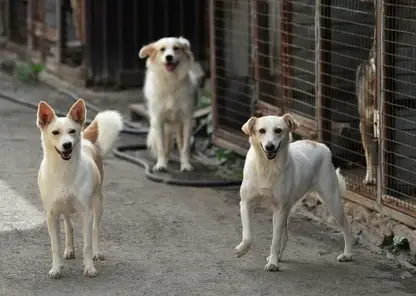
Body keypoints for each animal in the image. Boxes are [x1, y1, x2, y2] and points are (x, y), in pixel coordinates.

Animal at [36, 99, 122, 278]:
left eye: (72, 131)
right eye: (55, 132)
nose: (67, 145)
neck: (64, 170)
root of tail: (87, 139)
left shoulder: (86, 213)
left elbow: (87, 245)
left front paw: (89, 267)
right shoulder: (52, 215)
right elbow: (55, 247)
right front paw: (56, 268)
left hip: (98, 204)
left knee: (96, 229)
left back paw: (97, 252)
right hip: (64, 209)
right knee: (69, 227)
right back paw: (69, 250)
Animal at [139, 36, 201, 172]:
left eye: (176, 48)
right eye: (162, 49)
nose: (169, 57)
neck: (171, 81)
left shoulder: (186, 120)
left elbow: (185, 147)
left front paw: (185, 165)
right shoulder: (158, 120)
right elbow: (161, 147)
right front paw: (161, 165)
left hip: (178, 126)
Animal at [232, 114, 352, 272]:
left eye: (278, 130)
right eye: (261, 130)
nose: (269, 146)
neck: (267, 167)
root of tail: (320, 145)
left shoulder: (279, 210)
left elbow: (275, 240)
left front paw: (273, 263)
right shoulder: (246, 203)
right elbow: (248, 236)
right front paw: (241, 250)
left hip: (332, 202)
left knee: (347, 226)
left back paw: (347, 254)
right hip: (288, 210)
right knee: (285, 236)